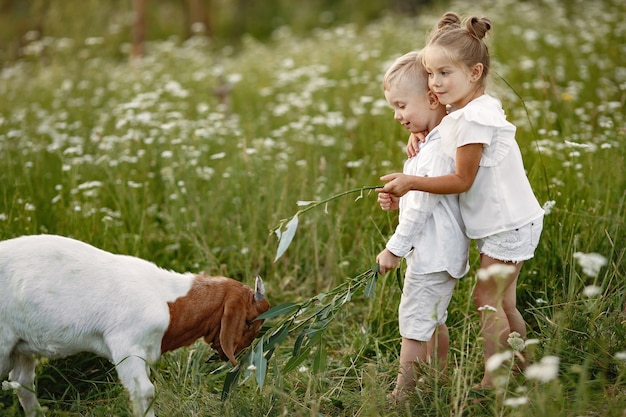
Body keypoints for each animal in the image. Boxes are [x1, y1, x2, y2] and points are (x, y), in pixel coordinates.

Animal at [0, 234, 266, 416]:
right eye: (249, 322)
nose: (242, 355)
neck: (168, 301)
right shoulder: (125, 346)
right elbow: (144, 392)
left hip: (23, 347)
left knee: (22, 383)